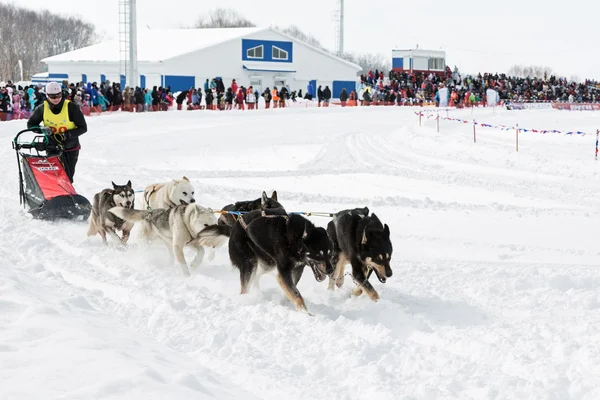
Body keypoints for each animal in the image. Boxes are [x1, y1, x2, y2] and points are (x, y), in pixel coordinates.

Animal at [199, 192, 336, 314]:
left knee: (257, 277)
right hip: (249, 262)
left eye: (329, 254)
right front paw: (305, 313)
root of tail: (234, 228)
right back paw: (246, 299)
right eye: (318, 254)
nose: (330, 270)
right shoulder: (284, 271)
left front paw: (286, 303)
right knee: (246, 285)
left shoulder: (297, 269)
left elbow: (291, 290)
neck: (293, 238)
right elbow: (296, 293)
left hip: (267, 263)